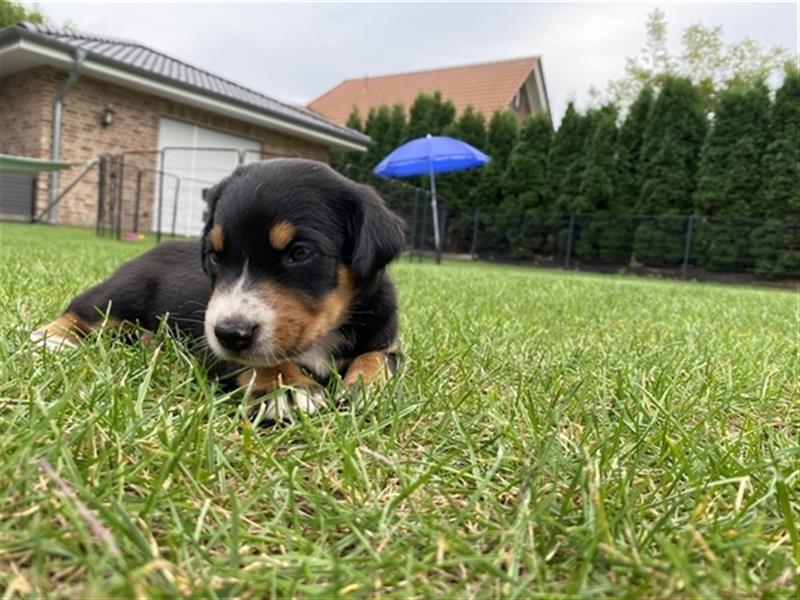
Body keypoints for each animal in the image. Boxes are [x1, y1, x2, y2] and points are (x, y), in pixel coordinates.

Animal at [32, 161, 406, 422]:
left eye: (300, 253)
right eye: (215, 256)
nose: (230, 333)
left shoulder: (388, 340)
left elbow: (377, 358)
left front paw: (364, 387)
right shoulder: (208, 346)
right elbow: (258, 361)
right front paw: (284, 388)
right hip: (123, 293)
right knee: (83, 308)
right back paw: (49, 339)